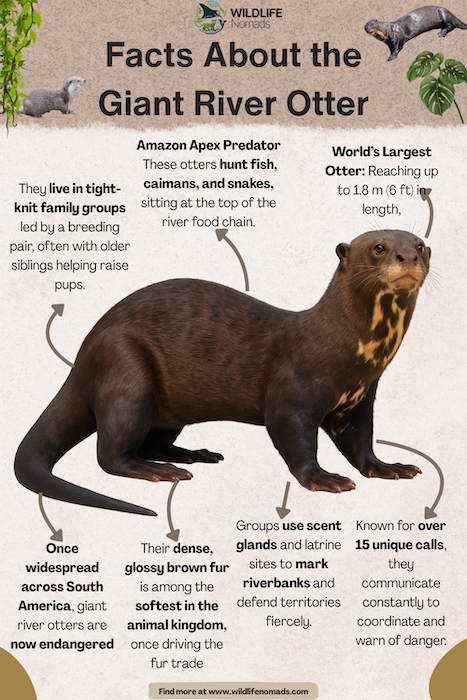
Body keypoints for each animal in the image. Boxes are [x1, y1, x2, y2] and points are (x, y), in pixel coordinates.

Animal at [14, 230, 431, 516]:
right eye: (378, 246)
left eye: (422, 243)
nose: (408, 255)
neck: (347, 353)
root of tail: (83, 354)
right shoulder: (292, 394)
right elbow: (295, 440)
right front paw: (323, 479)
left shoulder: (357, 402)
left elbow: (361, 444)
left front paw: (389, 467)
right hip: (126, 370)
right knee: (110, 452)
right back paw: (160, 471)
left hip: (168, 408)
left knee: (151, 440)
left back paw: (192, 454)